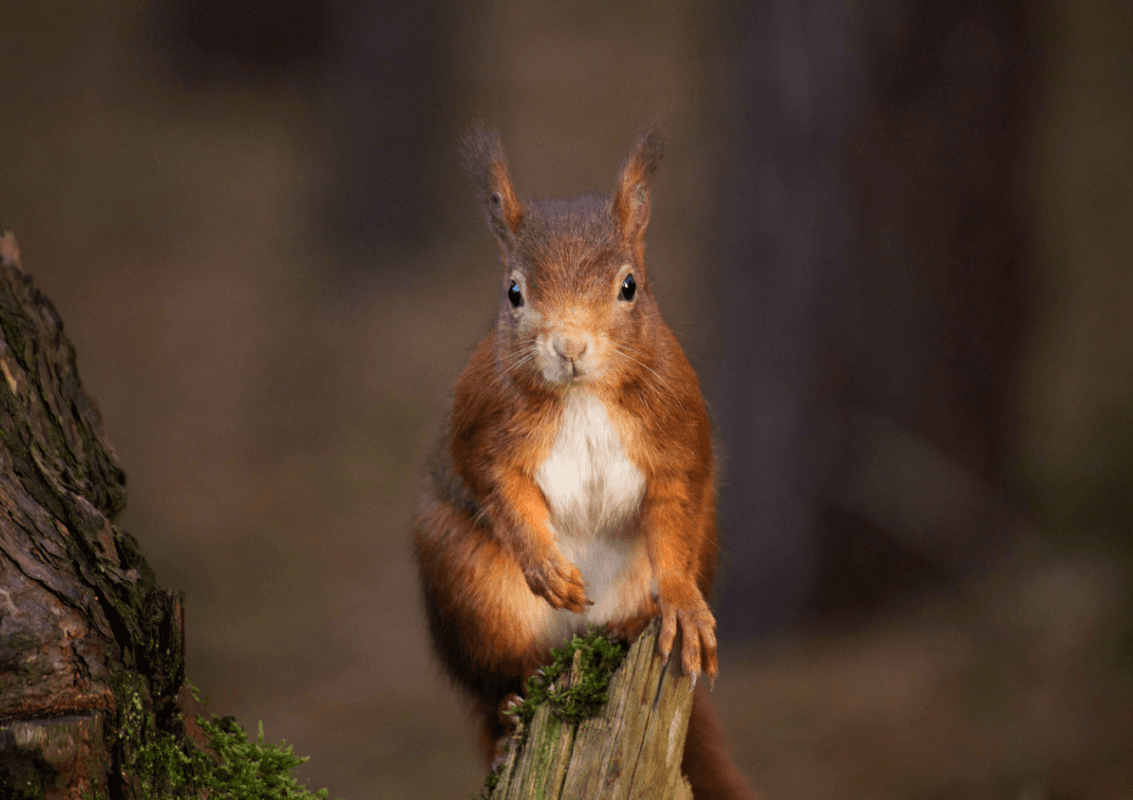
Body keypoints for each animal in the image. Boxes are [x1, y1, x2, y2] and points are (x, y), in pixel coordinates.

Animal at [414, 121, 752, 793]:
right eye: (513, 292)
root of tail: (577, 645)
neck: (584, 396)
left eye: (629, 287)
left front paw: (681, 602)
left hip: (681, 554)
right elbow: (499, 489)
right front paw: (546, 564)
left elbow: (672, 514)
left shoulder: (677, 438)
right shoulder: (482, 427)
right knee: (498, 683)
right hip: (467, 582)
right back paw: (508, 722)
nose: (569, 345)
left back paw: (632, 628)